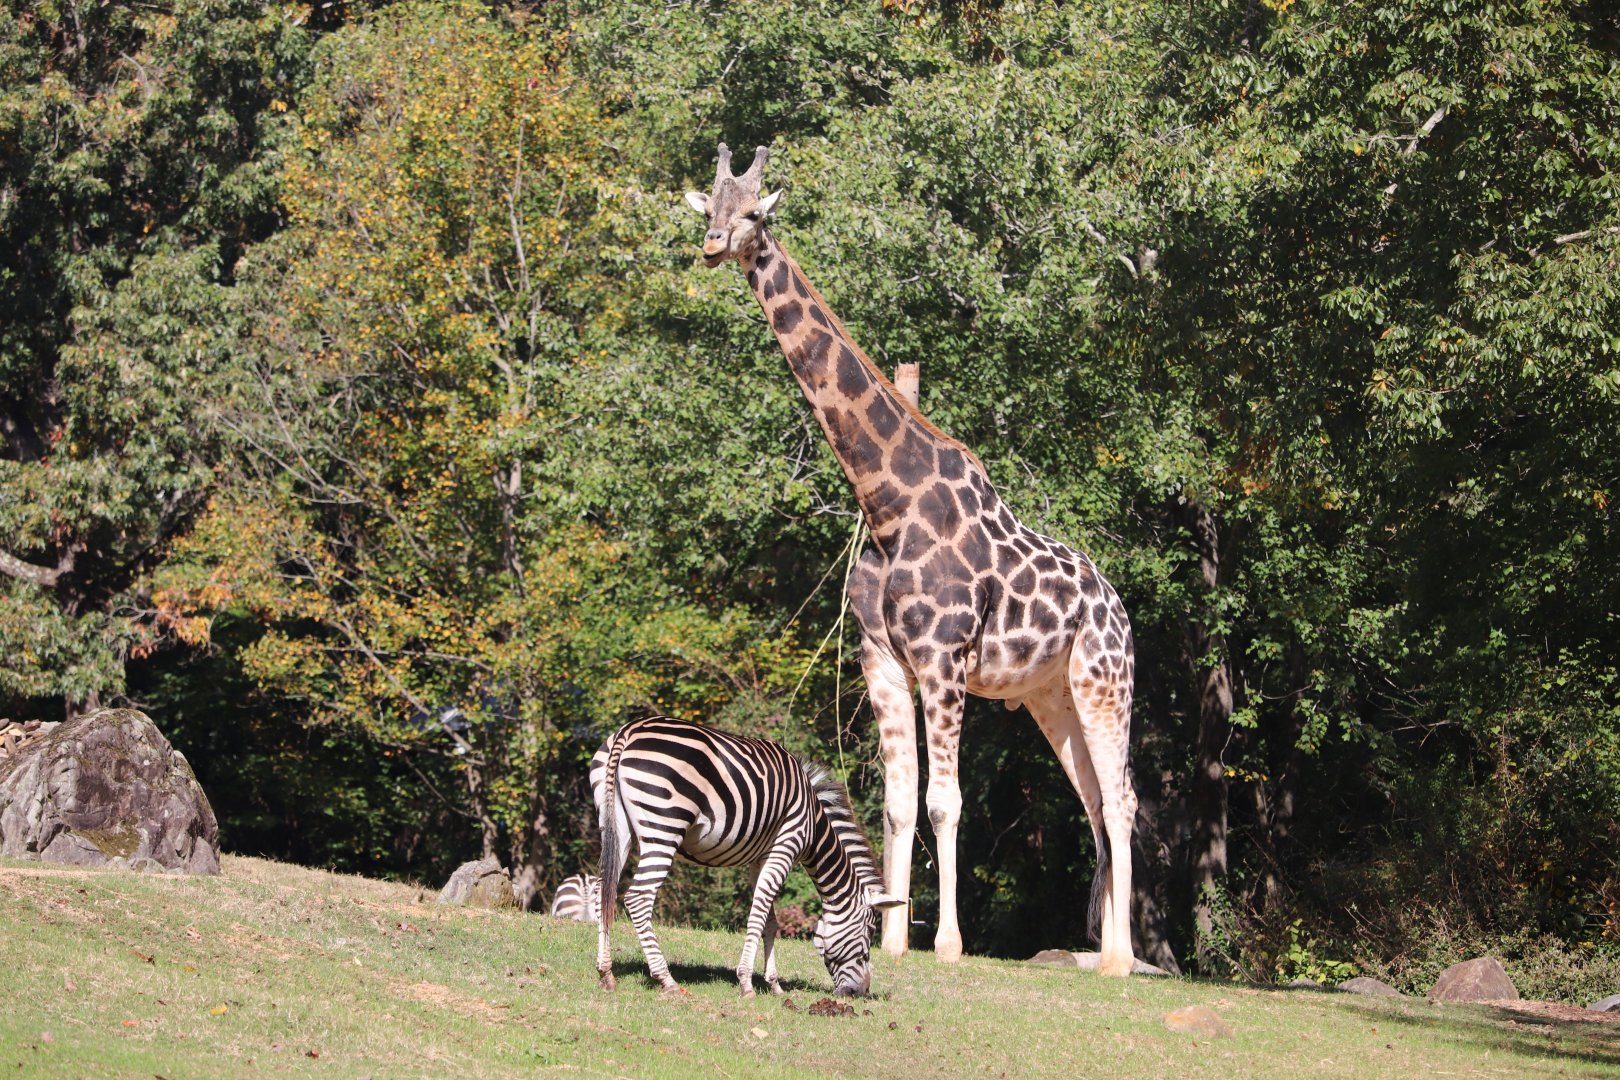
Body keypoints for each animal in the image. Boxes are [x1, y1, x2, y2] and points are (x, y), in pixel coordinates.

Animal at [591, 716, 903, 997]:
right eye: (869, 934)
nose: (860, 992)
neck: (813, 822)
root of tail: (629, 732)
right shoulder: (785, 845)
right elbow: (759, 914)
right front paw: (746, 983)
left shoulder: (760, 857)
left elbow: (770, 921)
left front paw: (774, 985)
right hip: (664, 827)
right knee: (638, 898)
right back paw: (666, 979)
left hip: (615, 826)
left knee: (602, 891)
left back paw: (606, 974)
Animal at [684, 144, 1138, 975]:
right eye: (711, 207)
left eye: (755, 211)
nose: (714, 245)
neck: (886, 504)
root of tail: (1121, 611)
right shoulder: (883, 660)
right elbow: (897, 803)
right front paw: (890, 937)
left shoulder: (943, 659)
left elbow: (944, 802)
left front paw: (948, 944)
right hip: (1051, 697)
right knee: (1095, 801)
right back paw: (1109, 952)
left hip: (1103, 681)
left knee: (1121, 800)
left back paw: (1122, 961)